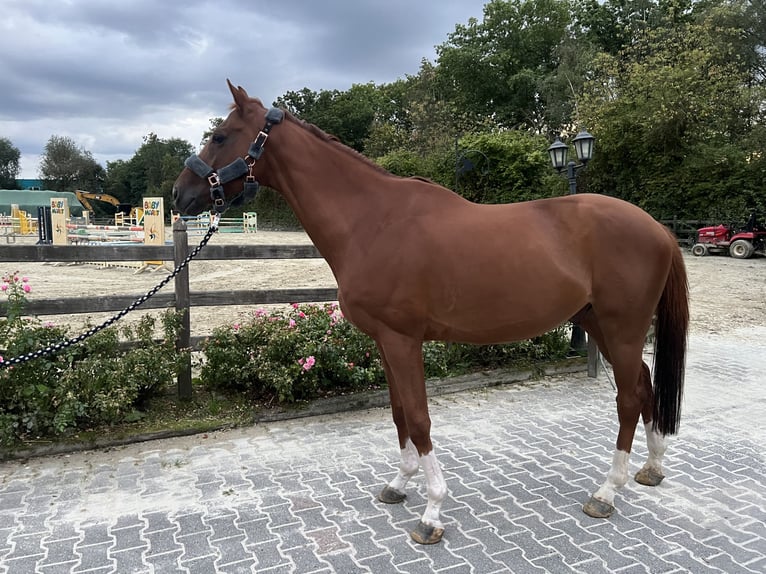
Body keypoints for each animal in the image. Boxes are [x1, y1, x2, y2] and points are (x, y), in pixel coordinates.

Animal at [174, 81, 688, 544]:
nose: (179, 197)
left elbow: (419, 418)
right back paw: (652, 466)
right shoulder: (384, 341)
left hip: (622, 328)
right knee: (644, 385)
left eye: (220, 136)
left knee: (628, 398)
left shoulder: (403, 340)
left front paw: (432, 511)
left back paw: (607, 492)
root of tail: (659, 229)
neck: (372, 221)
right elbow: (400, 413)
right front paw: (400, 484)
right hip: (597, 323)